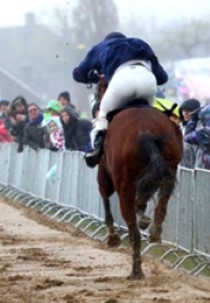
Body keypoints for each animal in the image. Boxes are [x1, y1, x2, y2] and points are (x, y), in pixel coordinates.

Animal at [93, 78, 182, 280]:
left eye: (99, 89)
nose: (95, 106)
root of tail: (144, 132)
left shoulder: (105, 171)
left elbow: (104, 195)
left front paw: (113, 237)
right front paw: (144, 217)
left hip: (123, 184)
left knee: (133, 231)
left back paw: (136, 271)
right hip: (170, 168)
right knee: (162, 200)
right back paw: (155, 230)